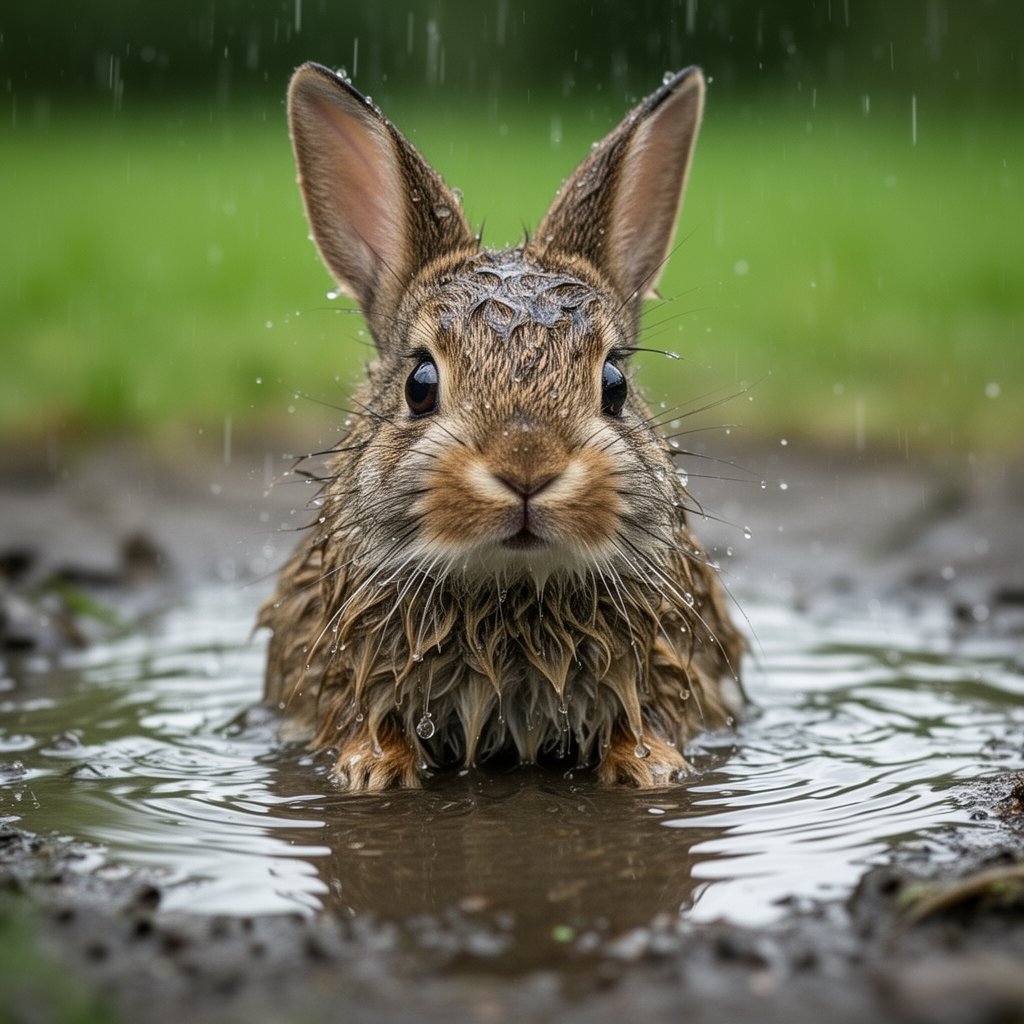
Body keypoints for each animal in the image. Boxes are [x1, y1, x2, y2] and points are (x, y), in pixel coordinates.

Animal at [258, 62, 746, 791]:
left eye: (615, 385)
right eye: (420, 384)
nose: (526, 466)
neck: (511, 595)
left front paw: (652, 764)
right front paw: (370, 766)